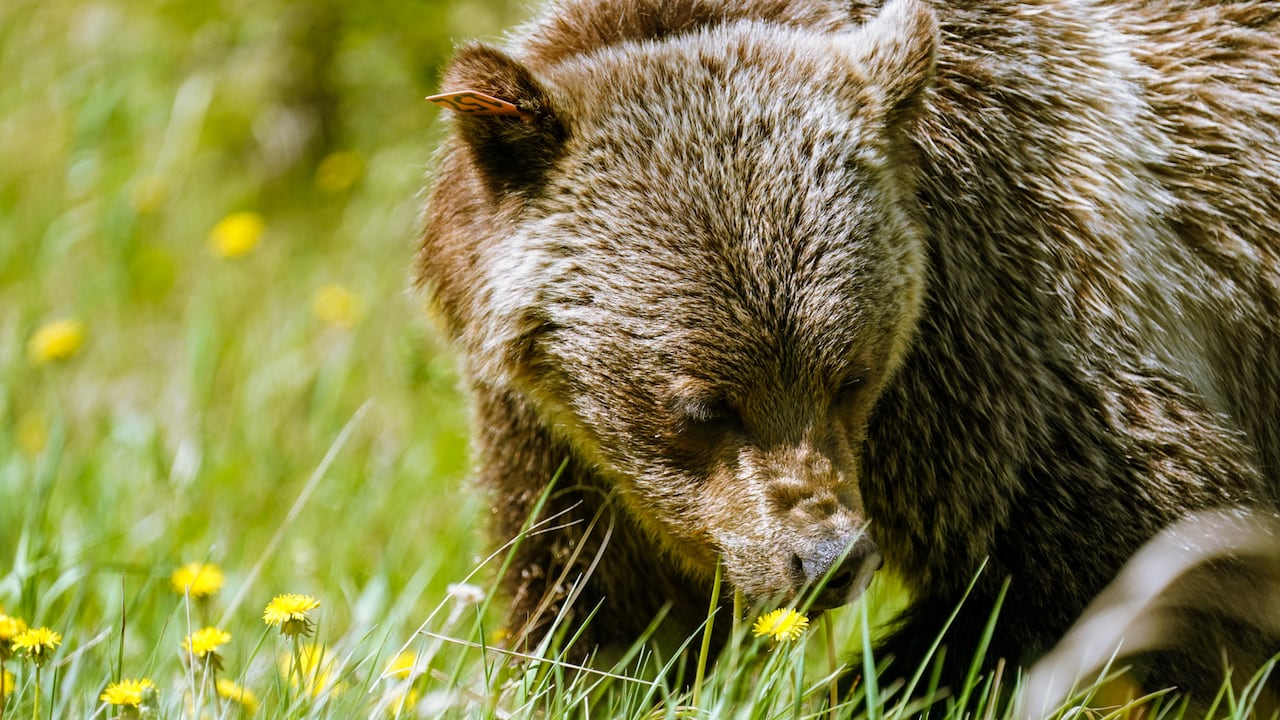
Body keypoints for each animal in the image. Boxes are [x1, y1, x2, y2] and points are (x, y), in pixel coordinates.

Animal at [416, 0, 1280, 703]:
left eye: (850, 376)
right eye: (702, 405)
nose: (825, 559)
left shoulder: (1013, 351)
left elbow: (1141, 555)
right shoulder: (563, 444)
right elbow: (599, 601)